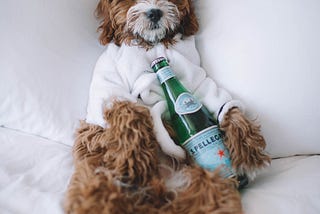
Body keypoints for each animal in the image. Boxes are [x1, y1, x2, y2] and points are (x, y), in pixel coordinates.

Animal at [64, 0, 270, 213]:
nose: (154, 12)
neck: (151, 45)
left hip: (208, 186)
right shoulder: (109, 82)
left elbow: (217, 99)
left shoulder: (195, 77)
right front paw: (134, 159)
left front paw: (246, 148)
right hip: (95, 172)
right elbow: (126, 111)